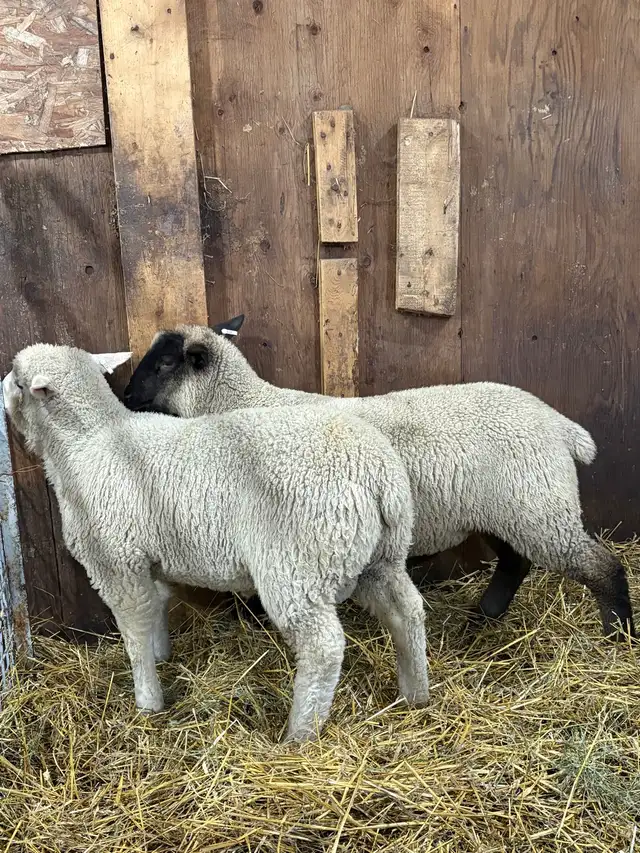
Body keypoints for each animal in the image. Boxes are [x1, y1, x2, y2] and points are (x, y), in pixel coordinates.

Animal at [2, 344, 429, 741]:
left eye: (18, 380)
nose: (1, 391)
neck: (87, 443)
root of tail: (378, 473)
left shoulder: (116, 560)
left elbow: (135, 628)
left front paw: (147, 701)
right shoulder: (149, 557)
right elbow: (158, 606)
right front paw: (162, 656)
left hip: (297, 564)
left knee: (323, 648)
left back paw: (299, 734)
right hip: (379, 555)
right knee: (406, 610)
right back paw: (415, 693)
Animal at [123, 317, 636, 640]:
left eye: (164, 363)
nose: (125, 397)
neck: (243, 404)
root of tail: (558, 425)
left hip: (539, 505)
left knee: (601, 566)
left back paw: (618, 634)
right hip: (507, 509)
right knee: (515, 562)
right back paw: (481, 621)